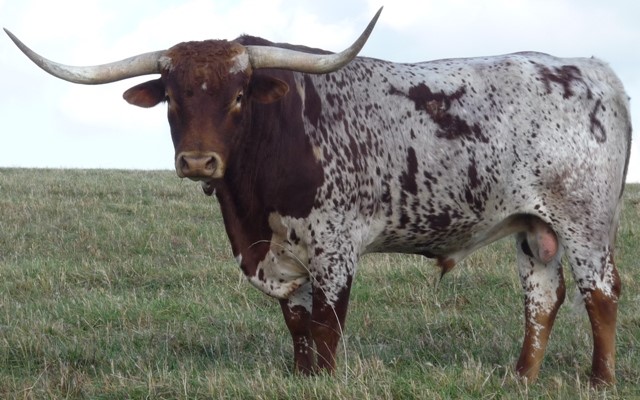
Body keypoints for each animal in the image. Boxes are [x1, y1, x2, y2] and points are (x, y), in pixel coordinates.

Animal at [5, 7, 632, 386]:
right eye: (172, 98)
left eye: (238, 97)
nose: (199, 162)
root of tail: (593, 70)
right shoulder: (284, 252)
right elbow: (298, 325)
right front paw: (301, 377)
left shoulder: (334, 248)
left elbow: (327, 327)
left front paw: (324, 381)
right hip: (533, 227)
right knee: (543, 297)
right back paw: (519, 378)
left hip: (585, 223)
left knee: (600, 295)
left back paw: (599, 381)